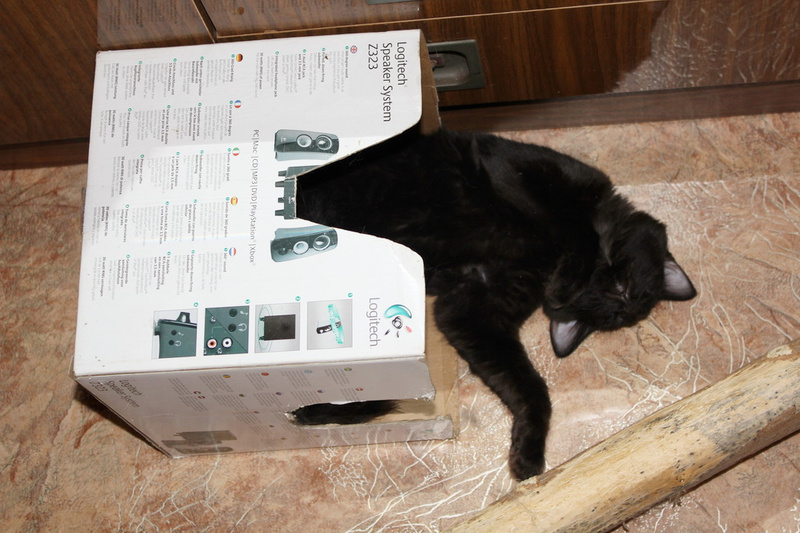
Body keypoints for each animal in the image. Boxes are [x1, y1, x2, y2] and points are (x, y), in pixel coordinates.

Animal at [289, 127, 697, 481]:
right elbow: (574, 228)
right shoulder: (522, 172)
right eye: (631, 290)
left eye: (619, 308)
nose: (619, 296)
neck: (544, 264)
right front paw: (567, 276)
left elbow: (530, 387)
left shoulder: (469, 311)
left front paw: (527, 453)